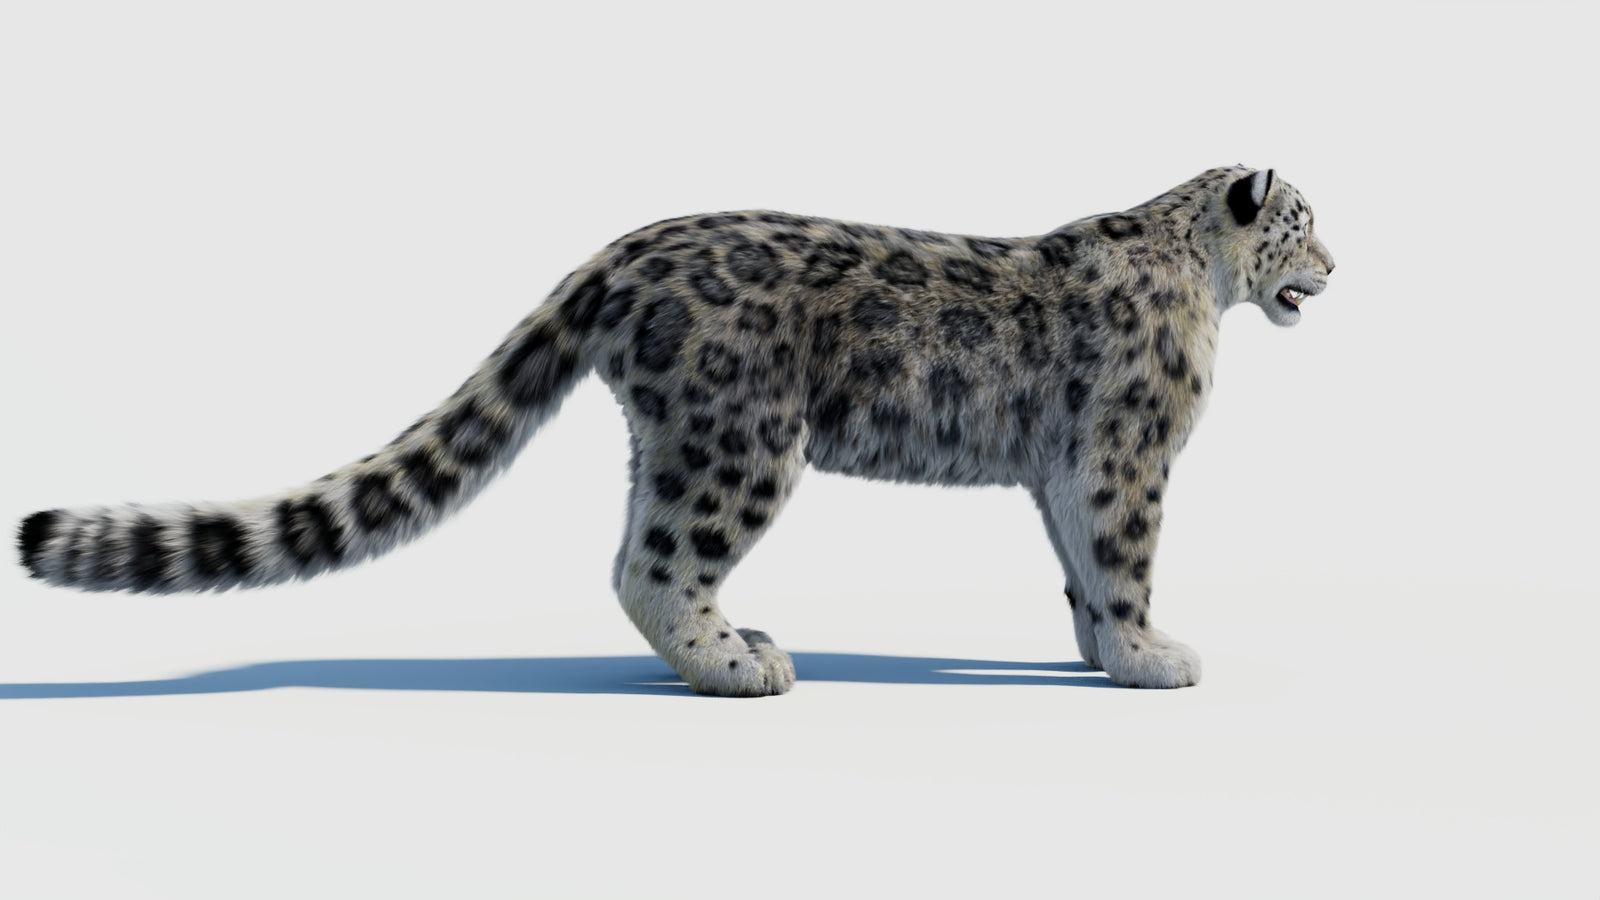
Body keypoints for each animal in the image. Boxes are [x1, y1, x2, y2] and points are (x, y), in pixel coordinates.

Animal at [16, 165, 1335, 695]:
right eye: (1304, 222)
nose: (1335, 267)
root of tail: (623, 250)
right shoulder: (1127, 450)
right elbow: (1122, 554)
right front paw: (1153, 655)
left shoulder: (1064, 463)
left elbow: (1077, 566)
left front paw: (1101, 652)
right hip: (740, 440)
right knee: (649, 564)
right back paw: (738, 662)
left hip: (687, 438)